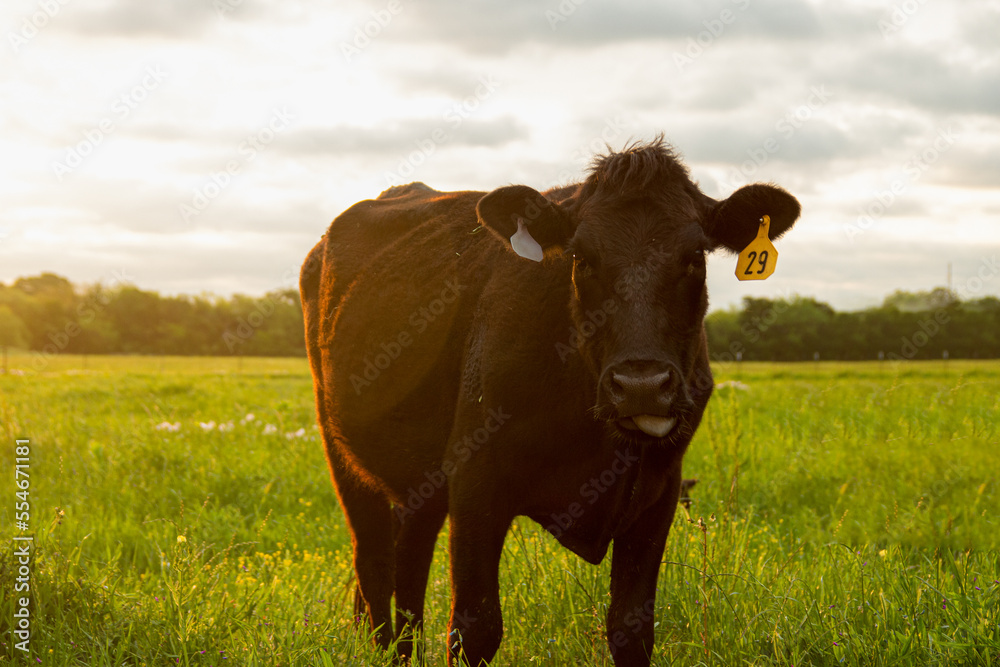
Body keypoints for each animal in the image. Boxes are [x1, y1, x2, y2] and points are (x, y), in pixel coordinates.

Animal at [300, 138, 800, 664]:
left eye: (695, 257)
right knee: (374, 565)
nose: (641, 385)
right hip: (342, 450)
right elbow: (474, 629)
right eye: (581, 257)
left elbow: (632, 628)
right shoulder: (475, 478)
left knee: (408, 561)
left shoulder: (660, 489)